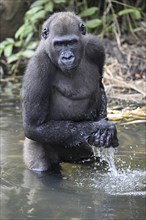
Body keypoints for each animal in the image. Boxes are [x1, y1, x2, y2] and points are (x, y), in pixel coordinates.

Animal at [21, 11, 118, 171]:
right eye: (59, 45)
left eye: (71, 42)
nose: (67, 57)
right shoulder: (38, 67)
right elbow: (33, 126)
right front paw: (98, 127)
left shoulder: (96, 47)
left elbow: (101, 87)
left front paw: (103, 129)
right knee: (41, 165)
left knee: (89, 159)